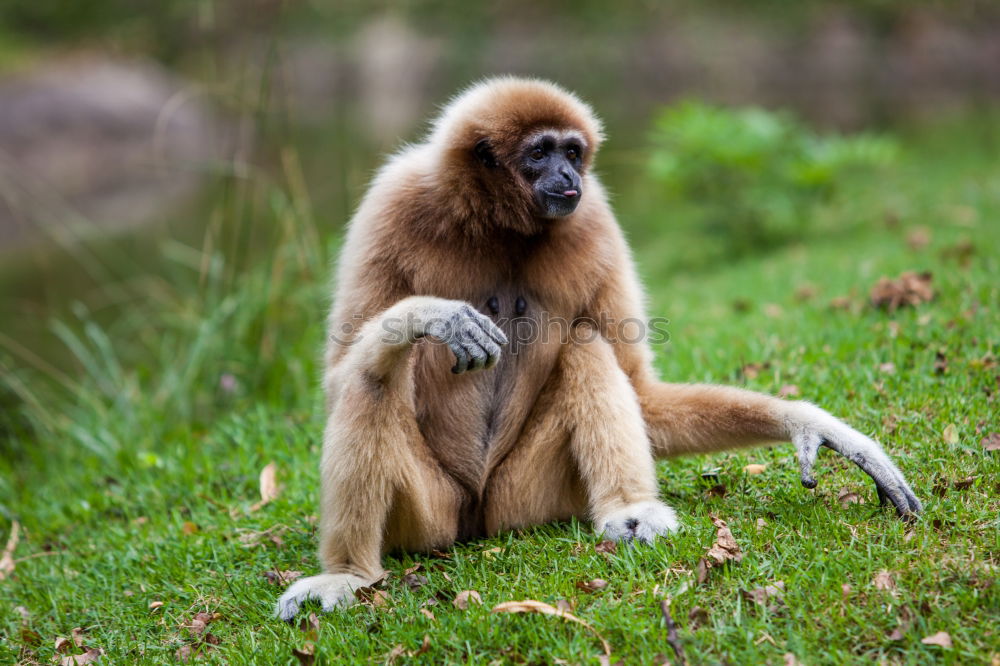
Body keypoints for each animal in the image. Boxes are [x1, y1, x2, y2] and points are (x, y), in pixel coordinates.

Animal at [276, 76, 920, 616]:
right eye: (541, 152)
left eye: (572, 151)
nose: (568, 176)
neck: (497, 225)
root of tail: (477, 519)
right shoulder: (391, 204)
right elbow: (339, 372)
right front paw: (430, 316)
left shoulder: (595, 221)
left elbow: (640, 390)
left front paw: (811, 423)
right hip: (430, 514)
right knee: (372, 377)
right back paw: (351, 574)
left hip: (526, 496)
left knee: (586, 343)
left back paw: (627, 510)